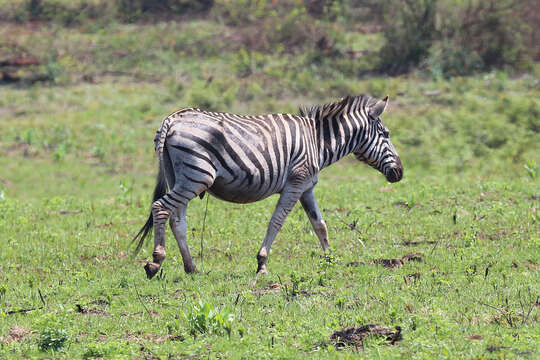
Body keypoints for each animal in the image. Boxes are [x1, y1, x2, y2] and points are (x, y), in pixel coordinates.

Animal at [133, 93, 402, 278]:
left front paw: (331, 259)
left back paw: (191, 268)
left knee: (177, 220)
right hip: (197, 176)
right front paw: (262, 263)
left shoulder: (307, 187)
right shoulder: (296, 182)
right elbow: (277, 221)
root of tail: (172, 119)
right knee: (160, 208)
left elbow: (320, 225)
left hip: (180, 177)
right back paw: (155, 262)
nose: (400, 173)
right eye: (387, 134)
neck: (317, 141)